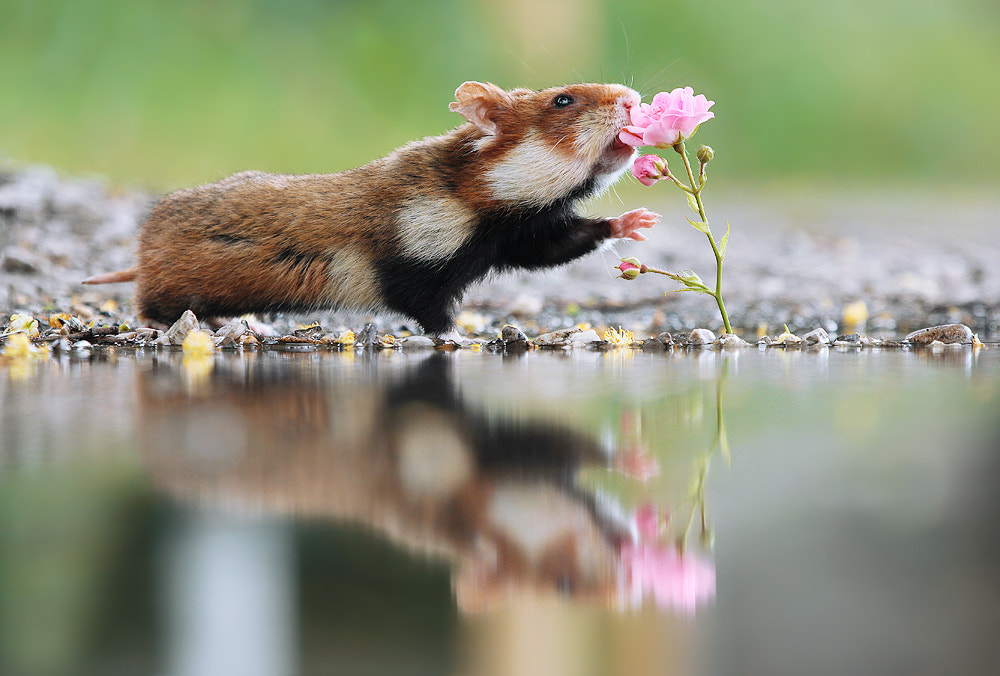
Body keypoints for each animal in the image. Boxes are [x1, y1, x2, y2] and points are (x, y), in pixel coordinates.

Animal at [84, 81, 656, 332]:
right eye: (563, 99)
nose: (632, 97)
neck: (475, 204)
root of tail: (141, 258)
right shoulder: (419, 261)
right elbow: (432, 314)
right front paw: (457, 337)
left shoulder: (517, 237)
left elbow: (563, 242)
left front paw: (634, 221)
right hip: (167, 292)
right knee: (147, 307)